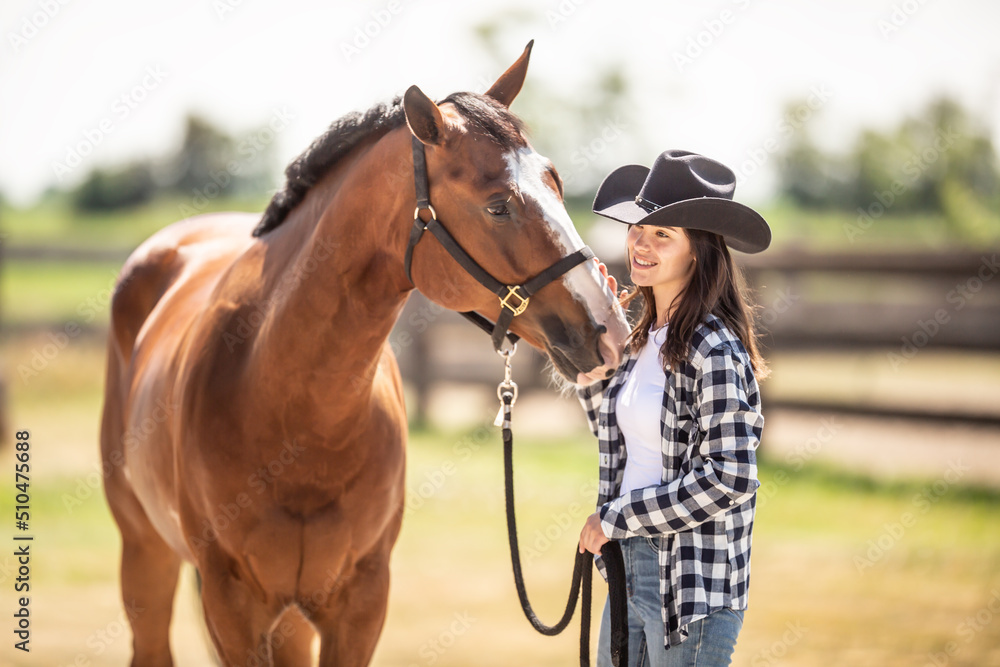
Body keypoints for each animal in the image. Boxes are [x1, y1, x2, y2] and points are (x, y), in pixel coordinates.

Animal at [99, 42, 629, 666]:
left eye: (556, 181)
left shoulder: (361, 600)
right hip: (145, 555)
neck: (287, 407)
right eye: (498, 205)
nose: (610, 328)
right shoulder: (233, 606)